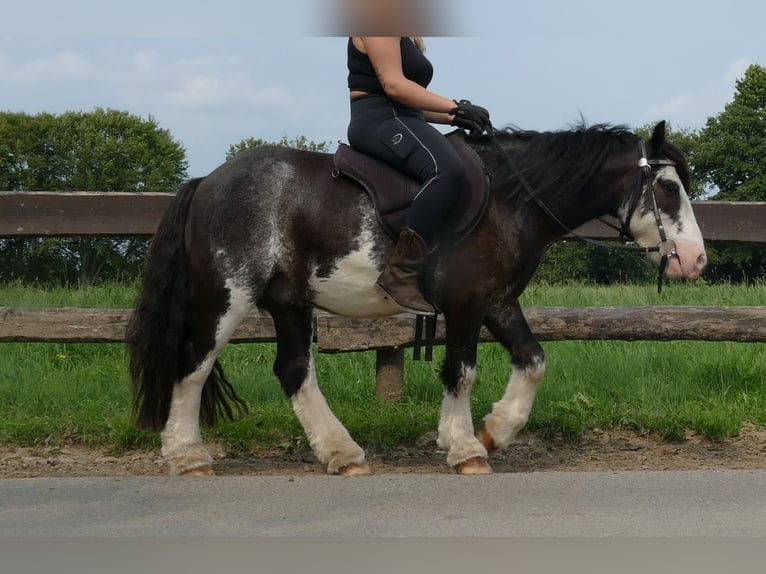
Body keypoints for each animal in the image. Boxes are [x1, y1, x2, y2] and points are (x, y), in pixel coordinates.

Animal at [126, 121, 708, 476]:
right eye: (668, 189)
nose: (696, 260)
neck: (510, 199)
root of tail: (206, 181)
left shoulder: (498, 301)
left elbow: (534, 361)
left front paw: (494, 432)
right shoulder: (467, 303)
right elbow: (462, 371)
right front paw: (466, 447)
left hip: (290, 302)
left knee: (293, 371)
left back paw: (341, 453)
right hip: (228, 296)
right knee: (193, 365)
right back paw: (187, 455)